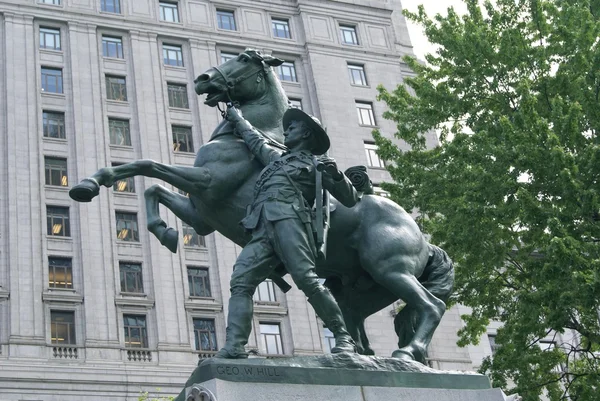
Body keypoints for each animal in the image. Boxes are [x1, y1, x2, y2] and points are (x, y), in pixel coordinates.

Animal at [70, 50, 452, 362]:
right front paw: (165, 233)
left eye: (242, 58)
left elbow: (146, 164)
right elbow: (153, 189)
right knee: (359, 322)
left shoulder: (206, 181)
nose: (202, 78)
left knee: (433, 306)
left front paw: (90, 183)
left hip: (390, 271)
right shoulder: (202, 214)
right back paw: (360, 355)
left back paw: (405, 353)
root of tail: (424, 239)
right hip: (362, 291)